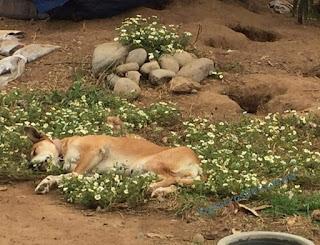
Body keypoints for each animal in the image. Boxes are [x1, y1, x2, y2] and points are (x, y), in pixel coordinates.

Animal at [24, 127, 202, 196]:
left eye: (34, 151)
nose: (30, 166)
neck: (63, 149)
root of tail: (198, 164)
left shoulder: (94, 151)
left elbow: (72, 173)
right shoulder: (90, 175)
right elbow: (65, 176)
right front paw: (46, 183)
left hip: (151, 163)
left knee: (171, 178)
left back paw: (152, 187)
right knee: (176, 184)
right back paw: (160, 191)